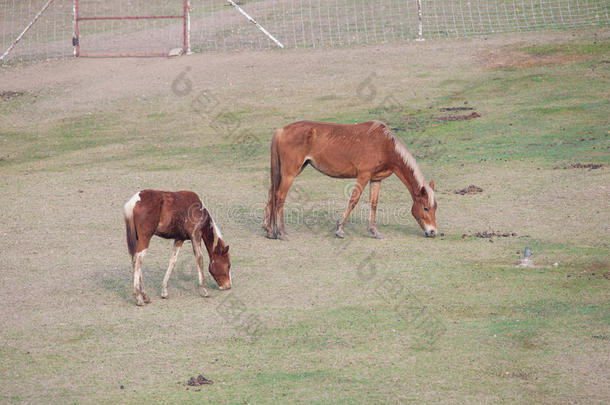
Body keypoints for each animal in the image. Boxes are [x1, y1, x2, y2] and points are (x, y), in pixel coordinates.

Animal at [264, 120, 434, 240]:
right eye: (425, 208)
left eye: (435, 208)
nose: (433, 231)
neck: (384, 145)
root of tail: (281, 131)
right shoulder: (363, 175)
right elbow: (353, 200)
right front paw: (339, 229)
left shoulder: (376, 179)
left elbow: (374, 204)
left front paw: (374, 231)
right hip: (290, 173)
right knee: (279, 196)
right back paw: (282, 233)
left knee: (272, 193)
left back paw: (269, 231)